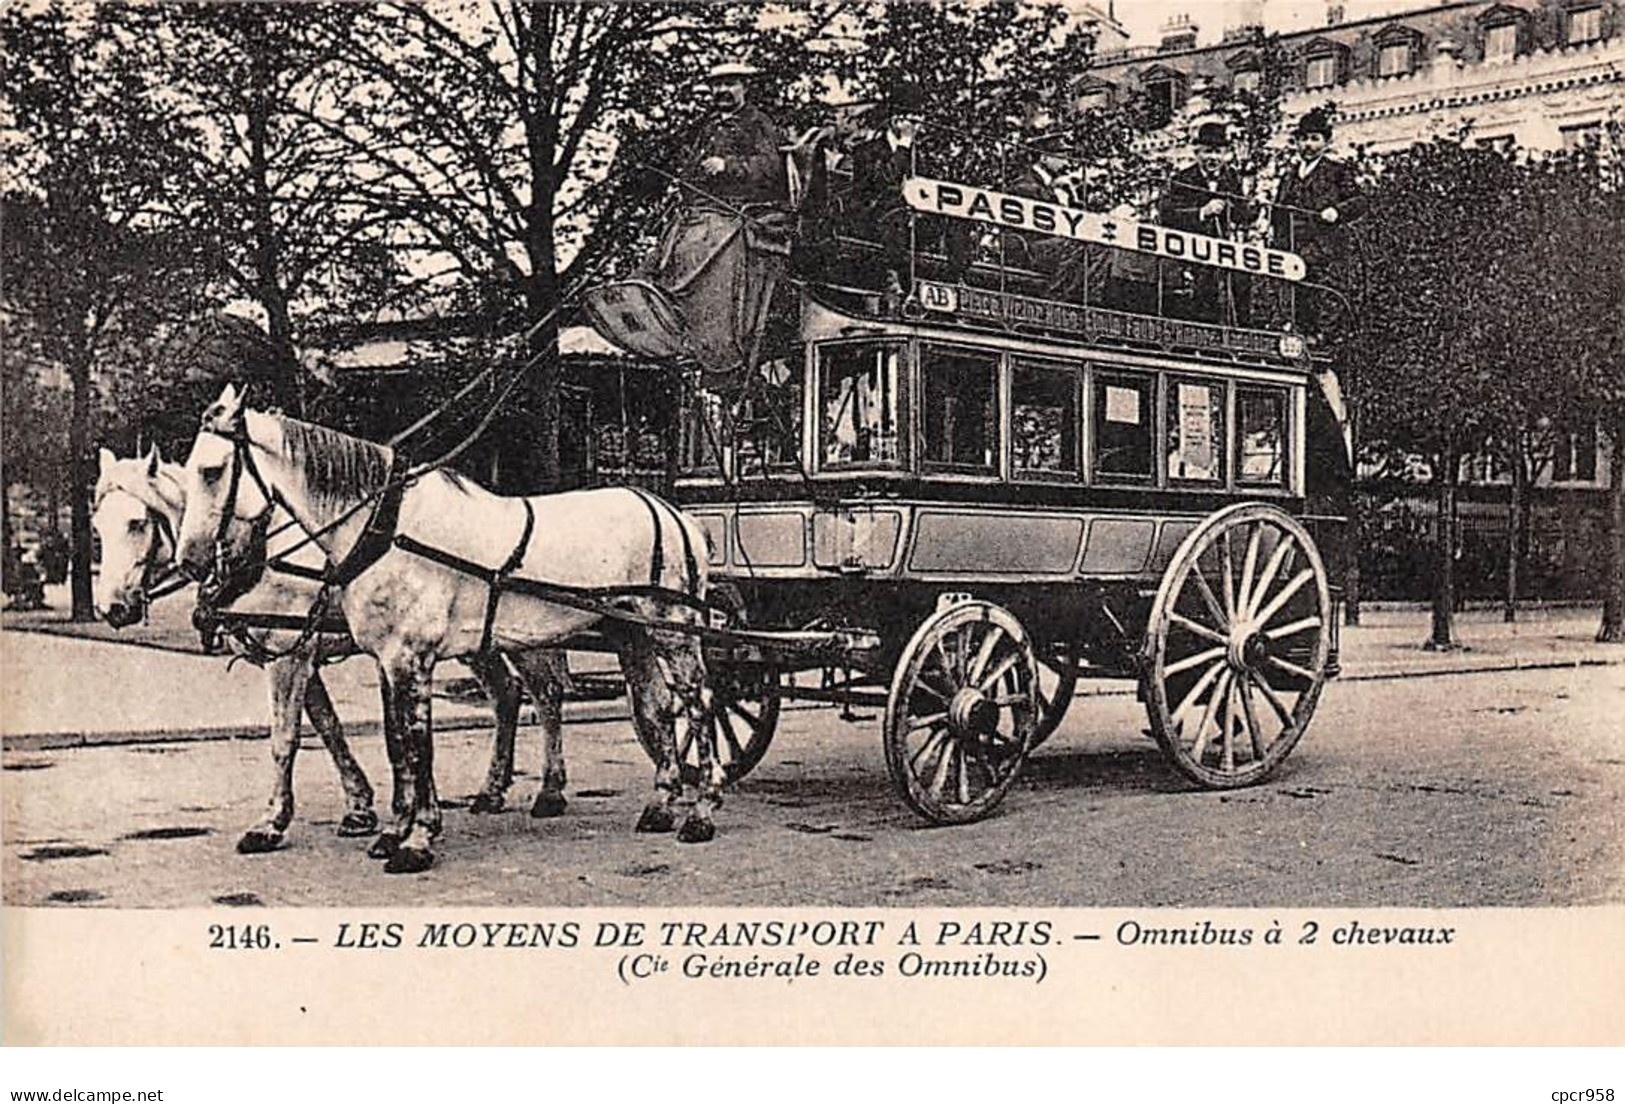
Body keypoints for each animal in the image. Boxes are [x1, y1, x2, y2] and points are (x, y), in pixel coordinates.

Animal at [92, 442, 572, 851]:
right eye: (97, 528)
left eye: (137, 522)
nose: (111, 608)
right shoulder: (306, 656)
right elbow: (330, 727)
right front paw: (362, 808)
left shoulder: (291, 655)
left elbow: (287, 737)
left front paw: (273, 823)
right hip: (478, 641)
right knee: (506, 695)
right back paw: (491, 790)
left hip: (525, 634)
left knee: (545, 695)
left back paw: (550, 790)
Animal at [169, 383, 718, 877]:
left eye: (212, 471)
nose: (190, 560)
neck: (384, 530)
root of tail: (674, 513)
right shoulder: (384, 658)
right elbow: (394, 744)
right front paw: (392, 829)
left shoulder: (379, 657)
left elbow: (405, 744)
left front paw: (414, 838)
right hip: (629, 633)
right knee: (650, 706)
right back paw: (658, 803)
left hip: (671, 629)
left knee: (697, 703)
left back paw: (701, 811)